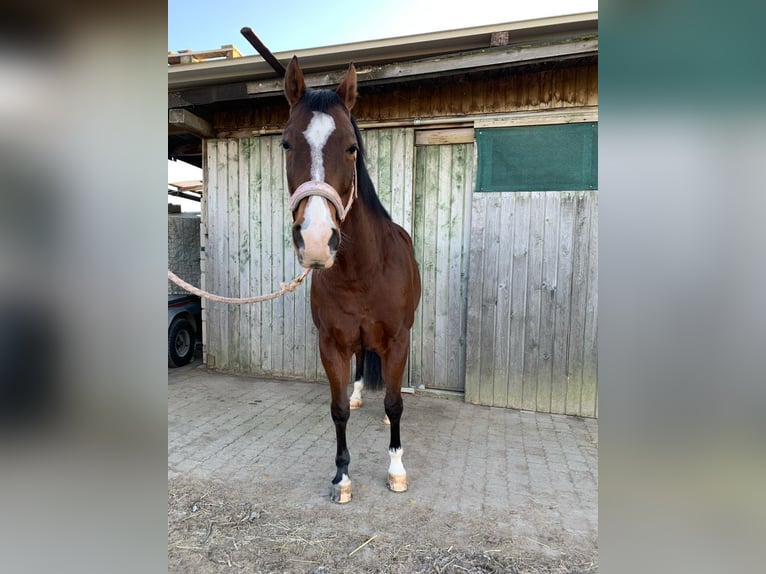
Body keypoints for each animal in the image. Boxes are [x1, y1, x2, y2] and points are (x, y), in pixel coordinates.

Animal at [282, 57, 424, 504]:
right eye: (286, 144)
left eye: (351, 147)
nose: (315, 240)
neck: (363, 271)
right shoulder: (332, 343)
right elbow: (338, 409)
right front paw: (341, 476)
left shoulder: (398, 339)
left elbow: (395, 403)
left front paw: (396, 470)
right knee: (362, 364)